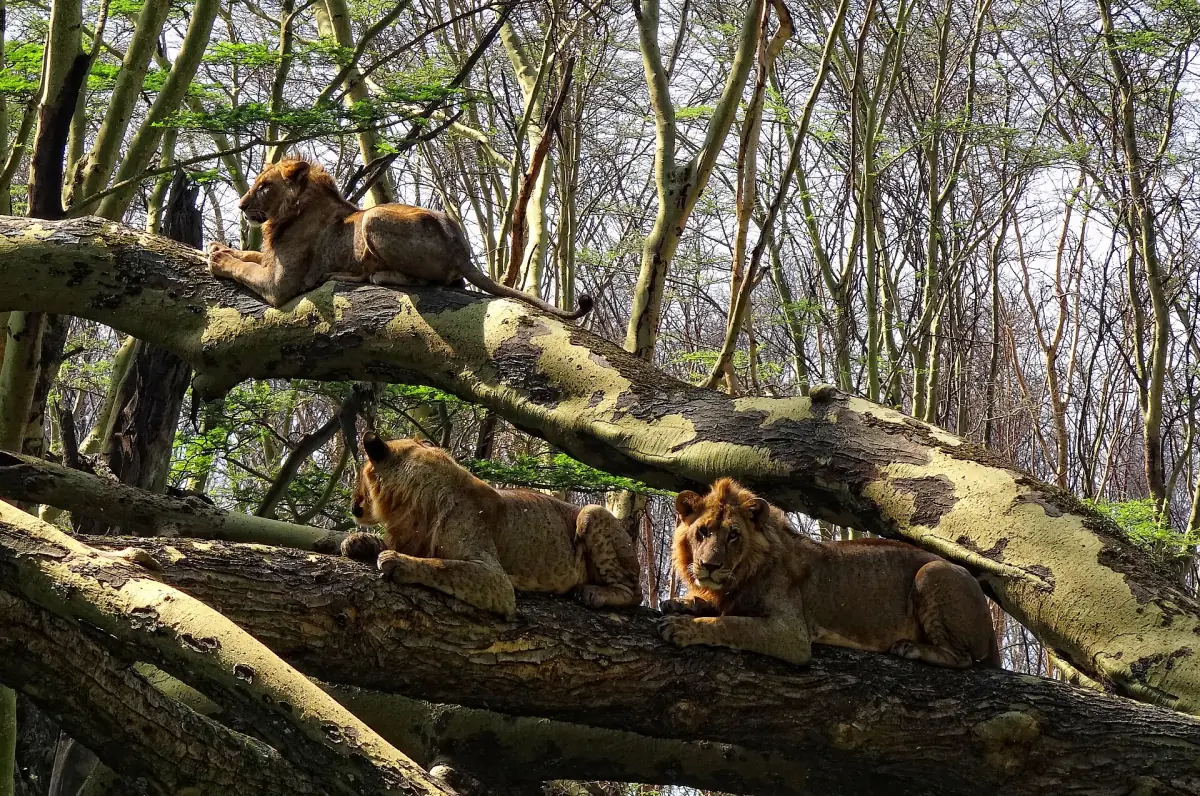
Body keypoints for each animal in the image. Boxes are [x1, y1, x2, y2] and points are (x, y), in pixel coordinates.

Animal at [206, 159, 593, 320]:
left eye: (264, 186)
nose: (241, 205)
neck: (288, 212)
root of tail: (461, 248)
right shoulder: (271, 260)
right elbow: (250, 256)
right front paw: (219, 247)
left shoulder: (280, 284)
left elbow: (245, 269)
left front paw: (219, 258)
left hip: (374, 216)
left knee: (426, 281)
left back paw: (365, 275)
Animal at [338, 432, 641, 618]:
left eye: (360, 474)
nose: (353, 505)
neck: (410, 505)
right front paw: (358, 541)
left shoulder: (496, 580)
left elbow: (442, 566)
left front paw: (397, 560)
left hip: (591, 512)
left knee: (633, 593)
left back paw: (592, 593)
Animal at [658, 478, 1000, 668]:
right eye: (702, 532)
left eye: (733, 535)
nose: (710, 565)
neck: (741, 574)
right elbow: (715, 607)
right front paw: (681, 602)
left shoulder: (791, 634)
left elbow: (730, 624)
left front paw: (685, 627)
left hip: (932, 570)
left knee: (963, 659)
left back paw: (911, 648)